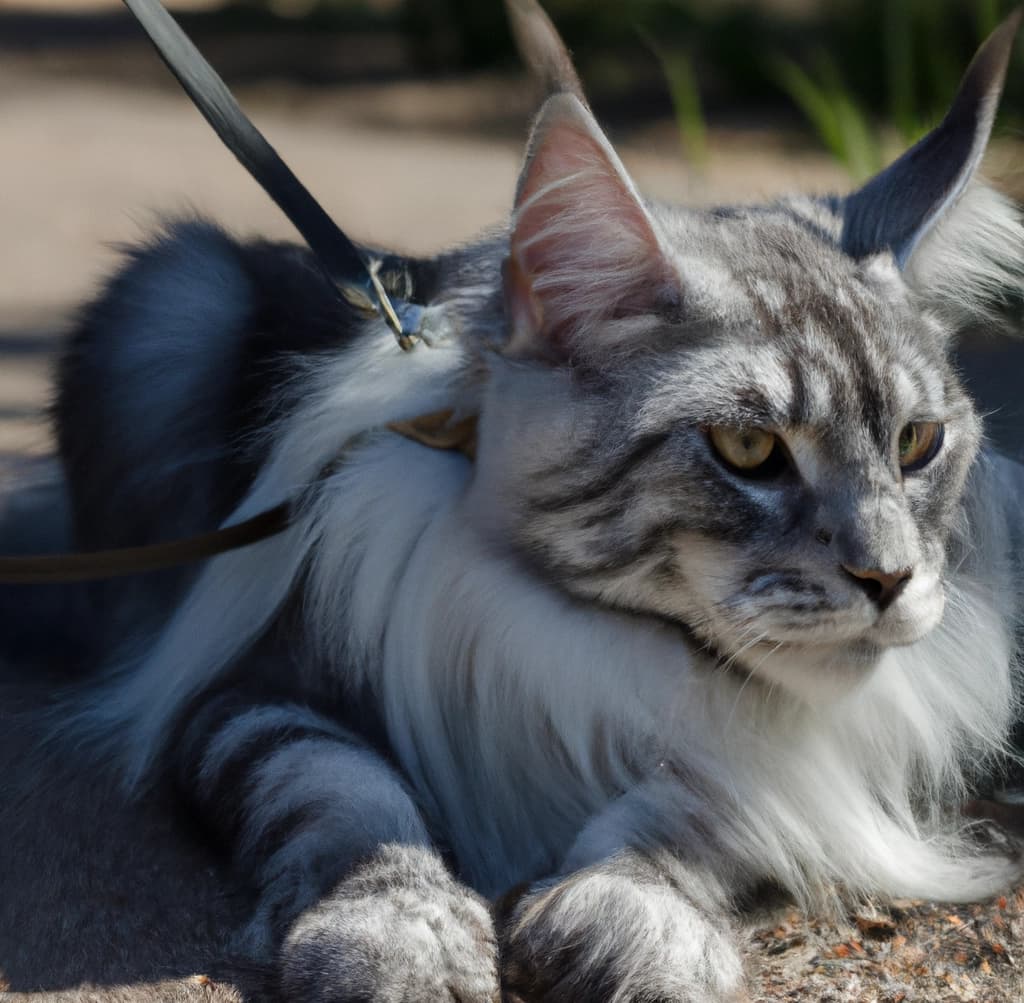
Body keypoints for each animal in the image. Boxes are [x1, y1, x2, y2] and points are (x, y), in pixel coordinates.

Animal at [12, 1, 1024, 1003]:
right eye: (749, 450)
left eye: (916, 443)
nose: (890, 578)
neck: (593, 635)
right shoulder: (251, 685)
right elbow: (343, 790)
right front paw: (401, 929)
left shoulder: (814, 759)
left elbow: (705, 803)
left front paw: (630, 915)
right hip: (175, 303)